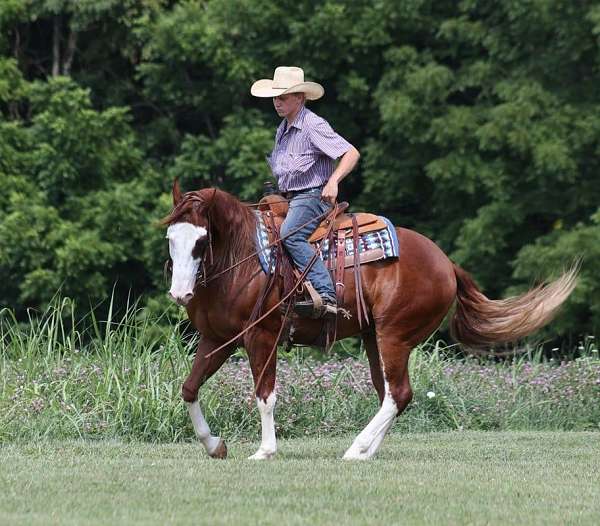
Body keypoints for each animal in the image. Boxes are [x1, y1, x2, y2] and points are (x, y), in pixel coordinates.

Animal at [164, 185, 576, 462]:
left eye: (201, 241)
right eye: (171, 238)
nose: (180, 293)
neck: (246, 257)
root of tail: (447, 264)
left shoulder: (260, 337)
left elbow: (265, 395)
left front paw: (265, 451)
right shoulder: (217, 338)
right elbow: (189, 388)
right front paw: (215, 445)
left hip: (394, 335)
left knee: (398, 393)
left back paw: (355, 448)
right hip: (375, 338)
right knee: (391, 394)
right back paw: (366, 450)